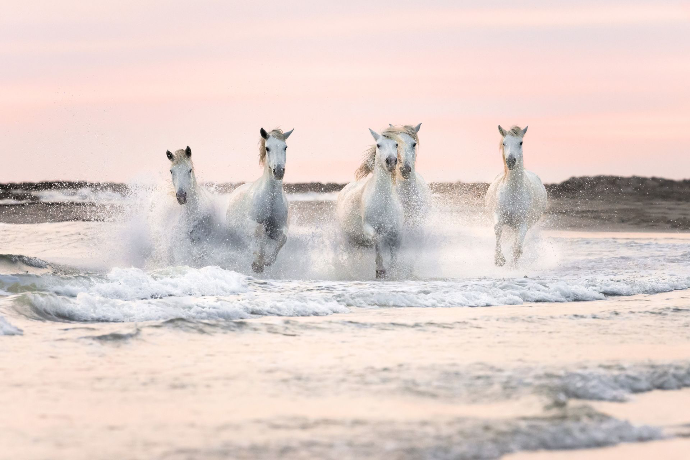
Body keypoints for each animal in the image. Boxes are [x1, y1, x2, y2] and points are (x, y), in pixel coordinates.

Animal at [226, 127, 293, 273]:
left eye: (285, 147)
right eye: (267, 148)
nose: (278, 171)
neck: (270, 199)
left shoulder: (278, 228)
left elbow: (283, 238)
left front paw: (267, 261)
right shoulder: (251, 223)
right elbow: (259, 230)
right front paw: (257, 263)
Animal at [337, 128, 403, 279]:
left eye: (396, 144)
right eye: (378, 145)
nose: (391, 161)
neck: (384, 201)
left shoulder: (395, 231)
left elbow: (394, 252)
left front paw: (394, 271)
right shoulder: (369, 228)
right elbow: (378, 241)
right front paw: (380, 270)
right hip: (348, 240)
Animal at [485, 125, 547, 266]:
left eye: (521, 142)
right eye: (504, 143)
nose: (511, 161)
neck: (513, 193)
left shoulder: (523, 224)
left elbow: (517, 249)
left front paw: (512, 267)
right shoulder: (499, 216)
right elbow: (498, 229)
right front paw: (499, 260)